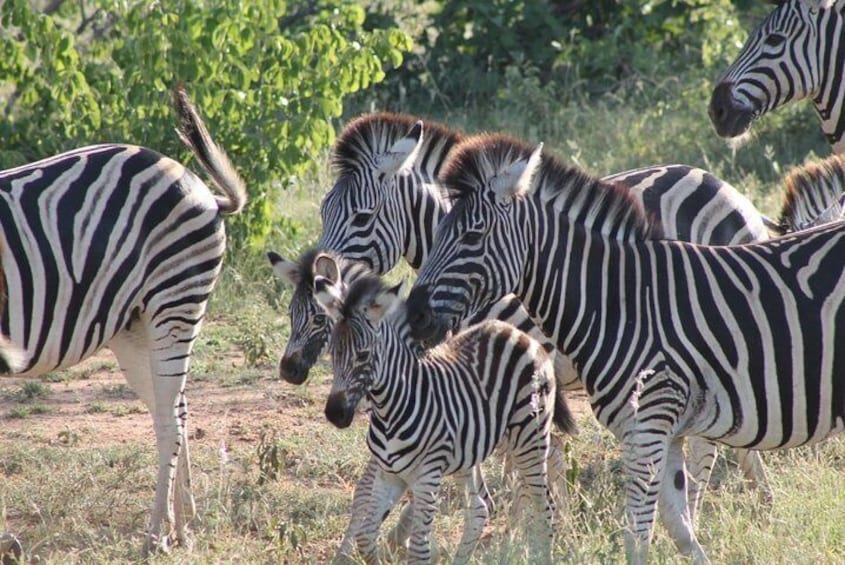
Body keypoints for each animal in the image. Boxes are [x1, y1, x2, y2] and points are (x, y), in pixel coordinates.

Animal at [0, 86, 246, 552]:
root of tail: (197, 183)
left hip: (175, 304)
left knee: (169, 422)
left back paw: (156, 535)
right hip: (135, 327)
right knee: (178, 409)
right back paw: (182, 525)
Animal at [310, 252, 572, 564]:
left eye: (362, 355)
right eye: (332, 353)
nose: (334, 414)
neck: (391, 411)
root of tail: (518, 334)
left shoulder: (427, 477)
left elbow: (419, 549)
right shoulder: (390, 475)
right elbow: (365, 537)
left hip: (528, 437)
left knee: (544, 505)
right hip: (474, 449)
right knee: (479, 508)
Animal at [404, 134, 844, 560]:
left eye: (471, 236)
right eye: (436, 231)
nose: (415, 316)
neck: (618, 301)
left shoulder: (649, 421)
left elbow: (638, 535)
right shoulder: (661, 431)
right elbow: (679, 528)